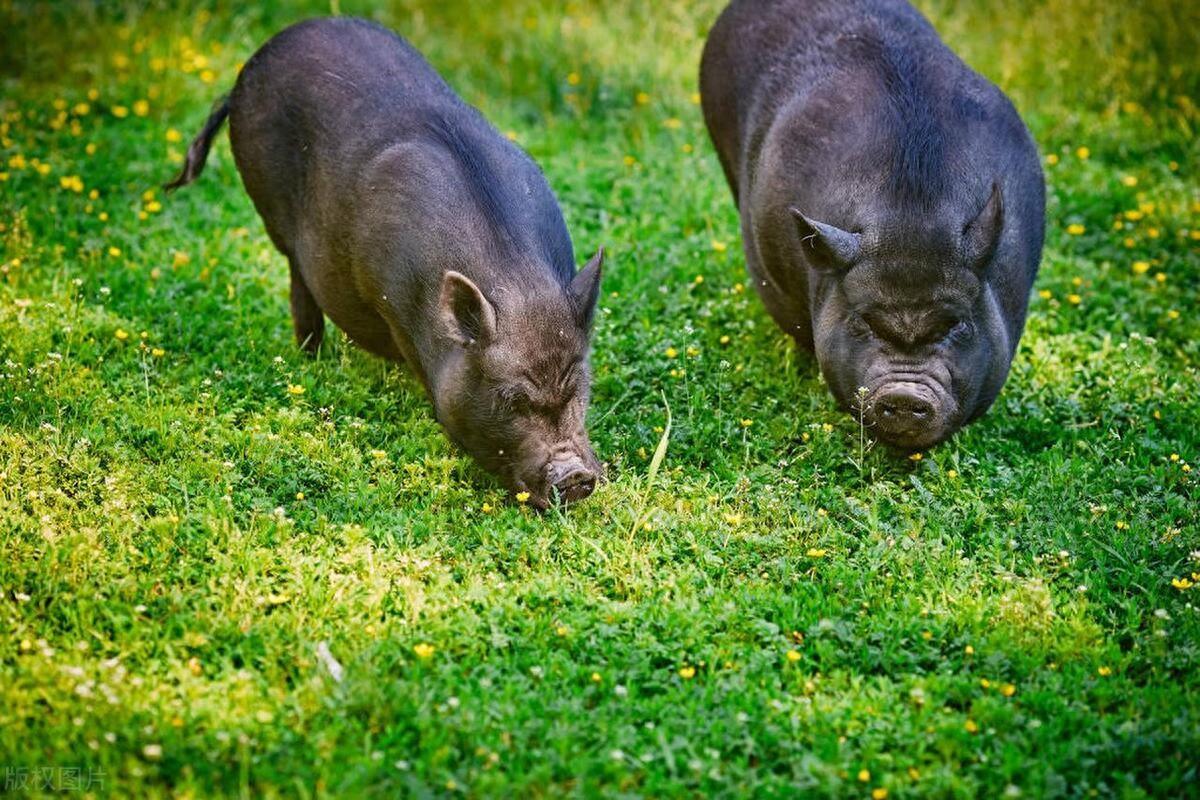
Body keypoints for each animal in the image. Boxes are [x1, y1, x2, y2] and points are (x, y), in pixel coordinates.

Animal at [168, 17, 600, 506]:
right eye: (512, 399)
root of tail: (249, 66)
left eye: (578, 388)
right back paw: (311, 358)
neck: (512, 275)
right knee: (299, 283)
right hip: (271, 210)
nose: (576, 476)